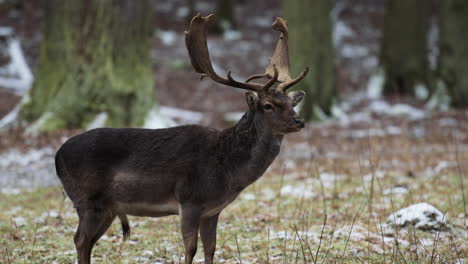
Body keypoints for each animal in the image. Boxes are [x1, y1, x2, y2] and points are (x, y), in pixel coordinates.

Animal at [54, 14, 308, 264]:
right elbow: (191, 249)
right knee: (80, 240)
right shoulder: (189, 200)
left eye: (291, 103)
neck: (226, 168)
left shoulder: (212, 210)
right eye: (268, 105)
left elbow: (210, 249)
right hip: (87, 200)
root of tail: (57, 156)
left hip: (108, 208)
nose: (300, 121)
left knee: (87, 242)